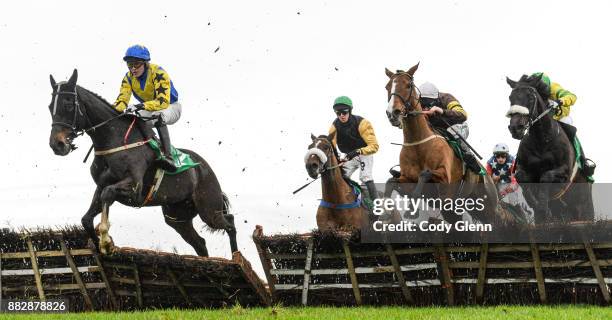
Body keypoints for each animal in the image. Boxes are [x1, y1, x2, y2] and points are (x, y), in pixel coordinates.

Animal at [45, 69, 235, 255]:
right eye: (49, 107)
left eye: (68, 105)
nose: (57, 144)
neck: (114, 139)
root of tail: (205, 167)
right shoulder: (100, 185)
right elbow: (86, 219)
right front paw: (100, 246)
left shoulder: (134, 187)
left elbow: (108, 193)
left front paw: (106, 241)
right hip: (177, 216)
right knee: (200, 243)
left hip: (209, 209)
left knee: (230, 222)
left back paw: (237, 257)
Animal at [388, 63, 512, 225]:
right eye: (387, 86)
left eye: (408, 85)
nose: (392, 113)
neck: (418, 145)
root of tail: (489, 178)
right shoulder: (407, 180)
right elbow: (390, 182)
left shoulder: (444, 181)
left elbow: (424, 174)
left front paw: (411, 211)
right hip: (457, 210)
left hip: (489, 207)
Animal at [504, 74, 592, 224]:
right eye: (511, 97)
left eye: (531, 97)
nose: (516, 128)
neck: (542, 140)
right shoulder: (523, 169)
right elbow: (523, 178)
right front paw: (536, 205)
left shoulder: (564, 173)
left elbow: (546, 177)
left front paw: (543, 206)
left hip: (584, 209)